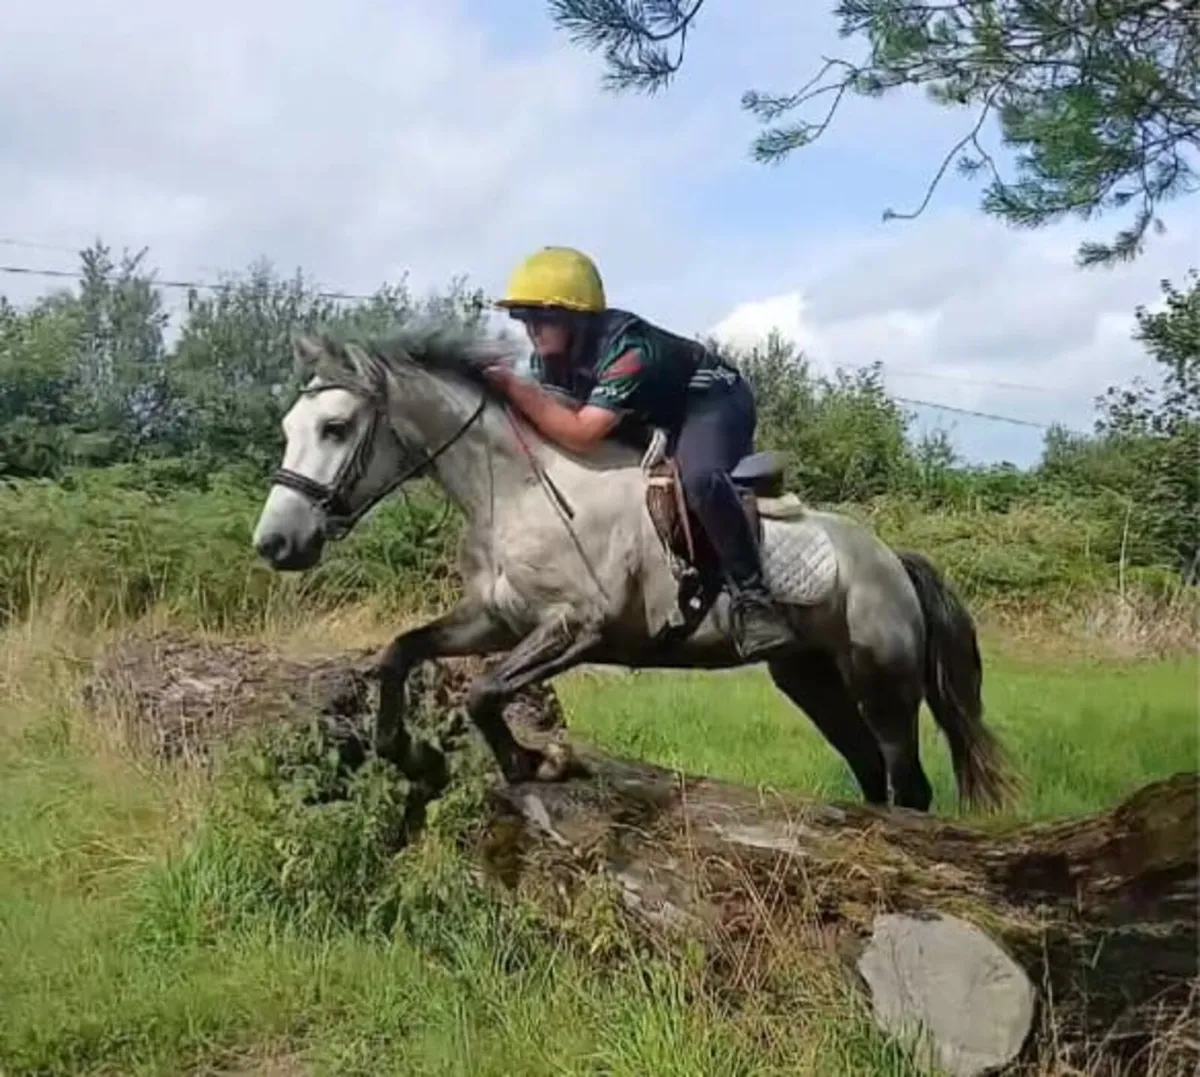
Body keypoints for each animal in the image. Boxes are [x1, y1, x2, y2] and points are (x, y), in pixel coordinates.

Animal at [251, 323, 1018, 813]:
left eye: (336, 428)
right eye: (290, 427)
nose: (275, 544)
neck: (516, 488)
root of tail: (892, 558)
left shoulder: (578, 628)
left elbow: (484, 693)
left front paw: (534, 761)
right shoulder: (497, 620)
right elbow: (400, 652)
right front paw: (410, 754)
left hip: (883, 681)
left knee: (907, 781)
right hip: (811, 678)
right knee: (869, 770)